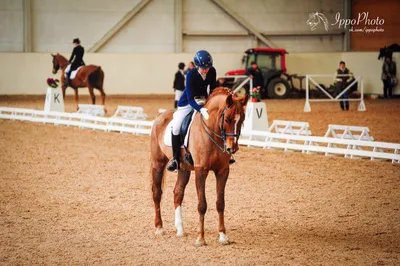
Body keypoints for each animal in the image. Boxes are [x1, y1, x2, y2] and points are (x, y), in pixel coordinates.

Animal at [150, 88, 248, 246]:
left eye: (242, 120)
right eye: (227, 119)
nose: (232, 148)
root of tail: (160, 115)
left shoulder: (223, 171)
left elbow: (220, 203)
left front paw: (223, 236)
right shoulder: (201, 171)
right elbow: (202, 205)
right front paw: (200, 238)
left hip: (184, 169)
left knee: (178, 193)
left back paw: (180, 230)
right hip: (157, 163)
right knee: (157, 193)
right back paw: (159, 228)